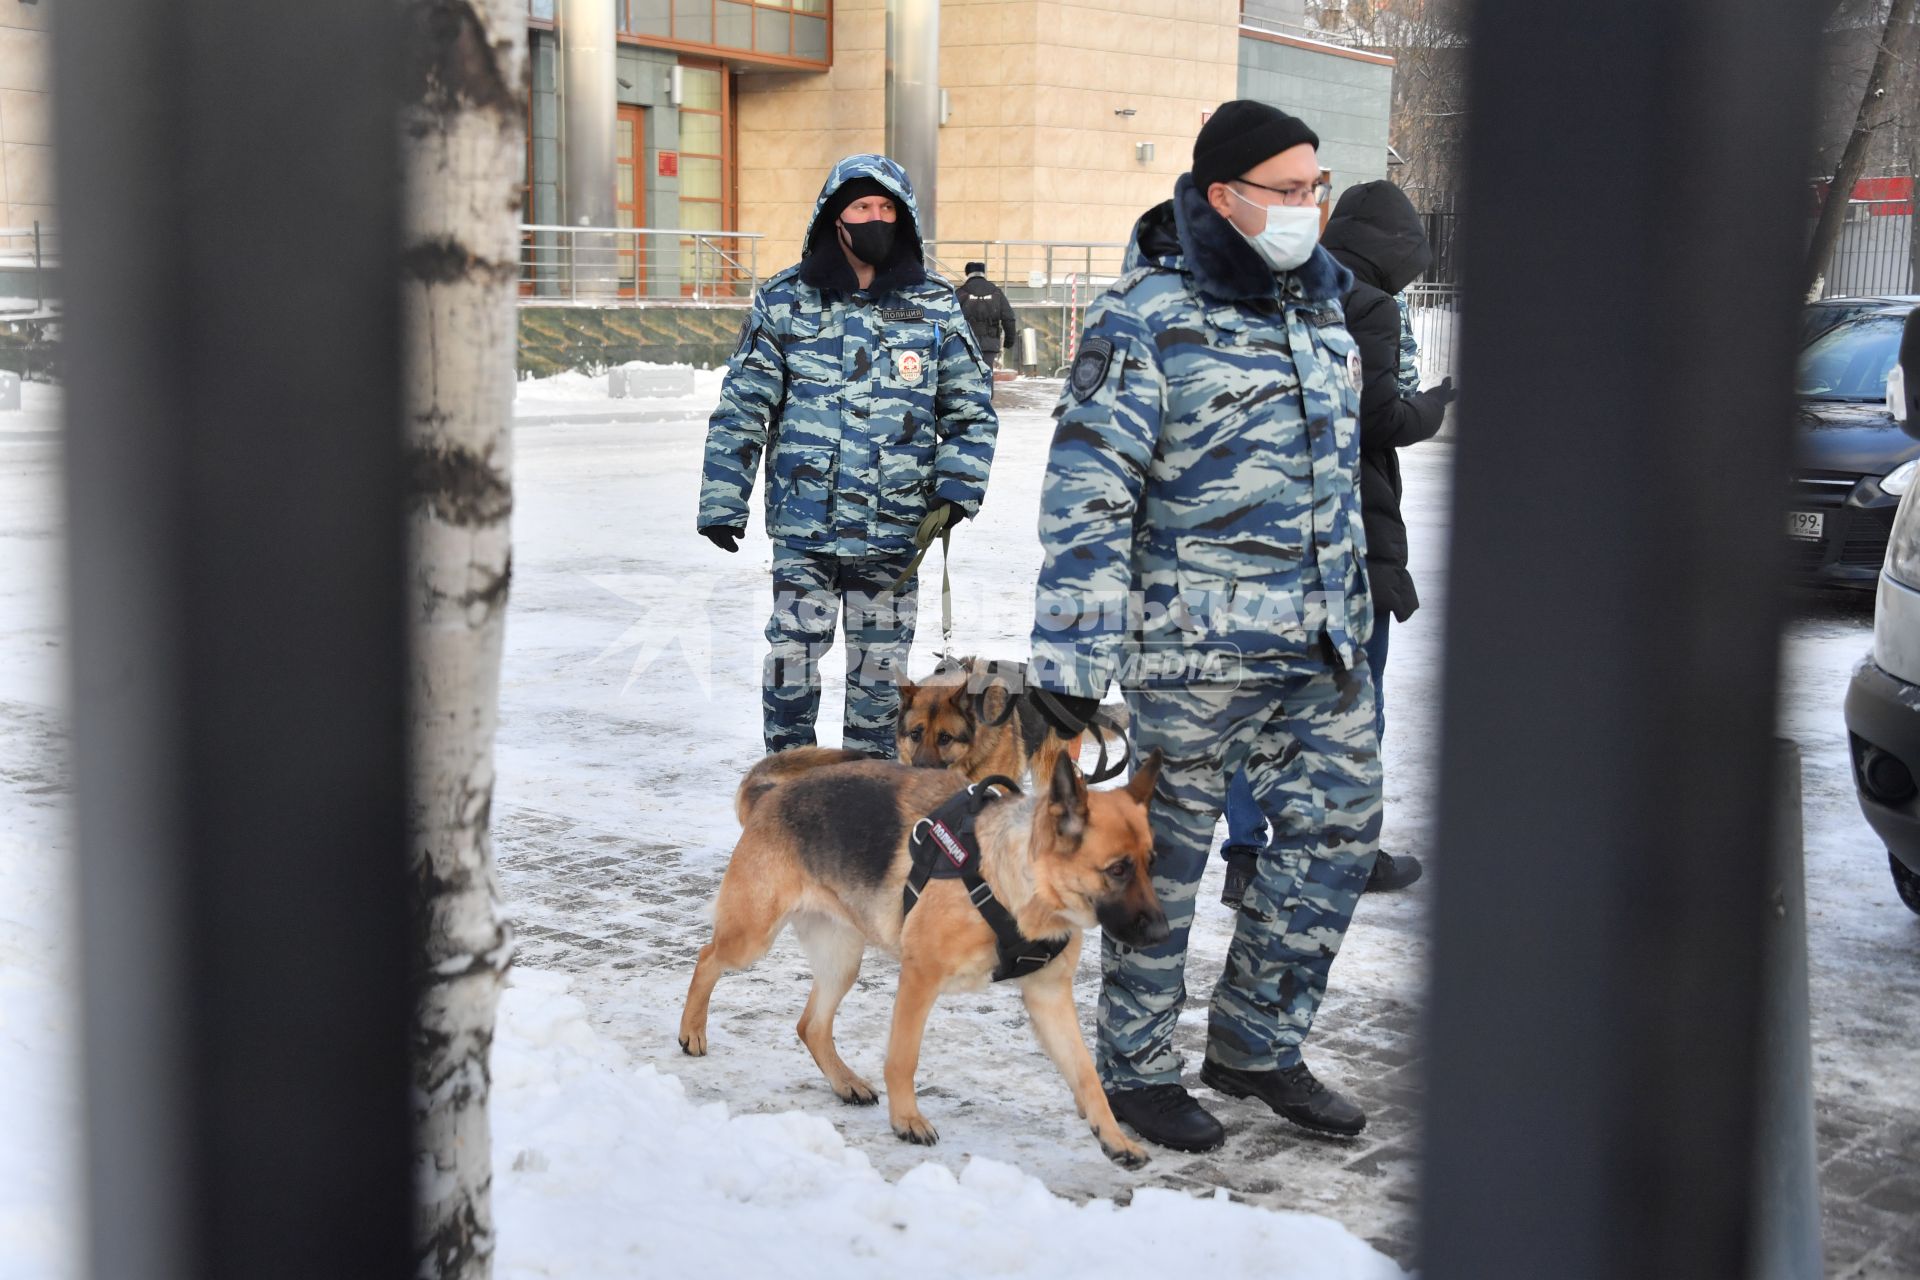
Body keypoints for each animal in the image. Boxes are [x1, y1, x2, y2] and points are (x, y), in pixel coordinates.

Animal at [683, 752, 1175, 1174]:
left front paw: (1114, 1138)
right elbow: (903, 1058)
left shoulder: (1048, 997)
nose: (1162, 935)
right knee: (707, 958)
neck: (1010, 881)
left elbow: (1087, 1075)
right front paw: (907, 1120)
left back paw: (845, 1082)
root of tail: (769, 797)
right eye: (1118, 869)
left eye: (1152, 863)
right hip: (752, 938)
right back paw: (692, 1031)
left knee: (811, 1025)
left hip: (842, 958)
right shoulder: (920, 978)